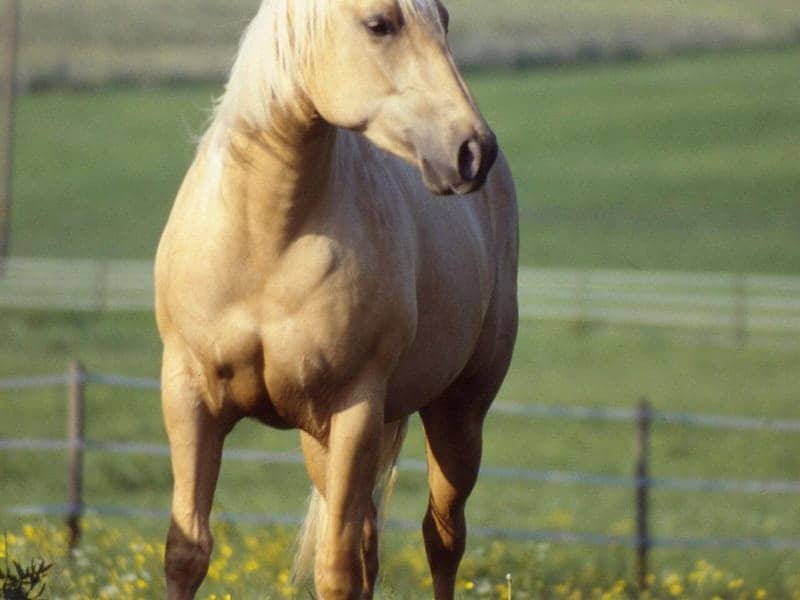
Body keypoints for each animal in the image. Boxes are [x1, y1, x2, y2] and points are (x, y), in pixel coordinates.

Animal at [154, 0, 518, 598]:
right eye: (379, 24)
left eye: (445, 19)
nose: (473, 151)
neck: (264, 239)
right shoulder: (190, 400)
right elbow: (187, 552)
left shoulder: (354, 409)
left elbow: (337, 569)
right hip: (319, 441)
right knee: (372, 540)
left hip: (458, 412)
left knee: (442, 538)